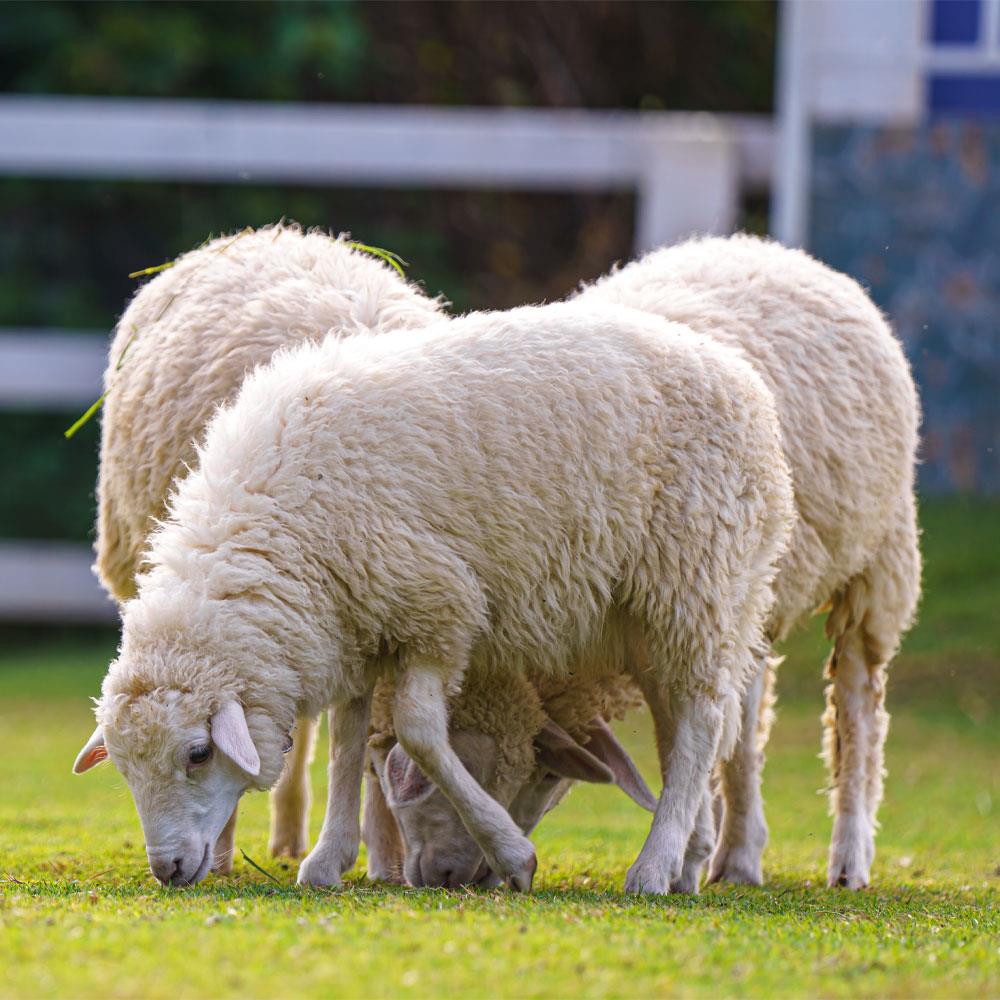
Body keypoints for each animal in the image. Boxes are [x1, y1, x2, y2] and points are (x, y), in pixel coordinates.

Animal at [70, 300, 792, 896]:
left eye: (197, 753)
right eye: (126, 768)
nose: (168, 869)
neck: (272, 522)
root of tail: (744, 382)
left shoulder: (438, 606)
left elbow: (418, 731)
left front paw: (512, 853)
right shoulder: (354, 619)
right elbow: (349, 739)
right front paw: (328, 860)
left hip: (694, 577)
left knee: (701, 723)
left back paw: (654, 866)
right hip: (646, 614)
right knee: (682, 727)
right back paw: (685, 861)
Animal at [372, 234, 916, 892]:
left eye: (548, 773)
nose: (452, 876)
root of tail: (764, 248)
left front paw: (680, 854)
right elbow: (684, 735)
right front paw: (694, 850)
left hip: (870, 562)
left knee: (858, 709)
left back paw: (848, 853)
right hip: (745, 595)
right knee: (745, 720)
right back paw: (738, 853)